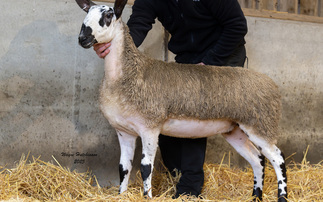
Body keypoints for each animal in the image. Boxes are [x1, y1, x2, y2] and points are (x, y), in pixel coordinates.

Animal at [75, 0, 288, 201]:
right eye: (86, 13)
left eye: (108, 15)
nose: (82, 38)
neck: (128, 73)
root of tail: (272, 85)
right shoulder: (124, 131)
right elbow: (123, 167)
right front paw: (121, 195)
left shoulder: (150, 127)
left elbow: (145, 167)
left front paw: (147, 197)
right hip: (235, 129)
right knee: (257, 159)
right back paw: (256, 196)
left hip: (261, 124)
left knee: (278, 158)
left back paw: (282, 196)